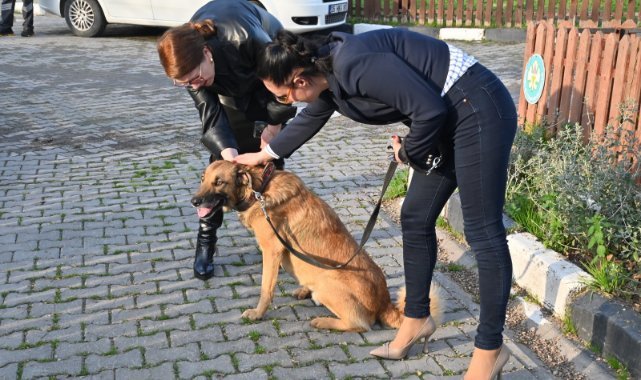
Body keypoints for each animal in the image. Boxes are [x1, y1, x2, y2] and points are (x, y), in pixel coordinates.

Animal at [190, 160, 440, 332]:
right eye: (202, 178)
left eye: (219, 182)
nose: (194, 201)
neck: (259, 189)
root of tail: (384, 303)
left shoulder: (271, 252)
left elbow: (265, 290)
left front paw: (258, 313)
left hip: (329, 283)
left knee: (361, 324)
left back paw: (323, 321)